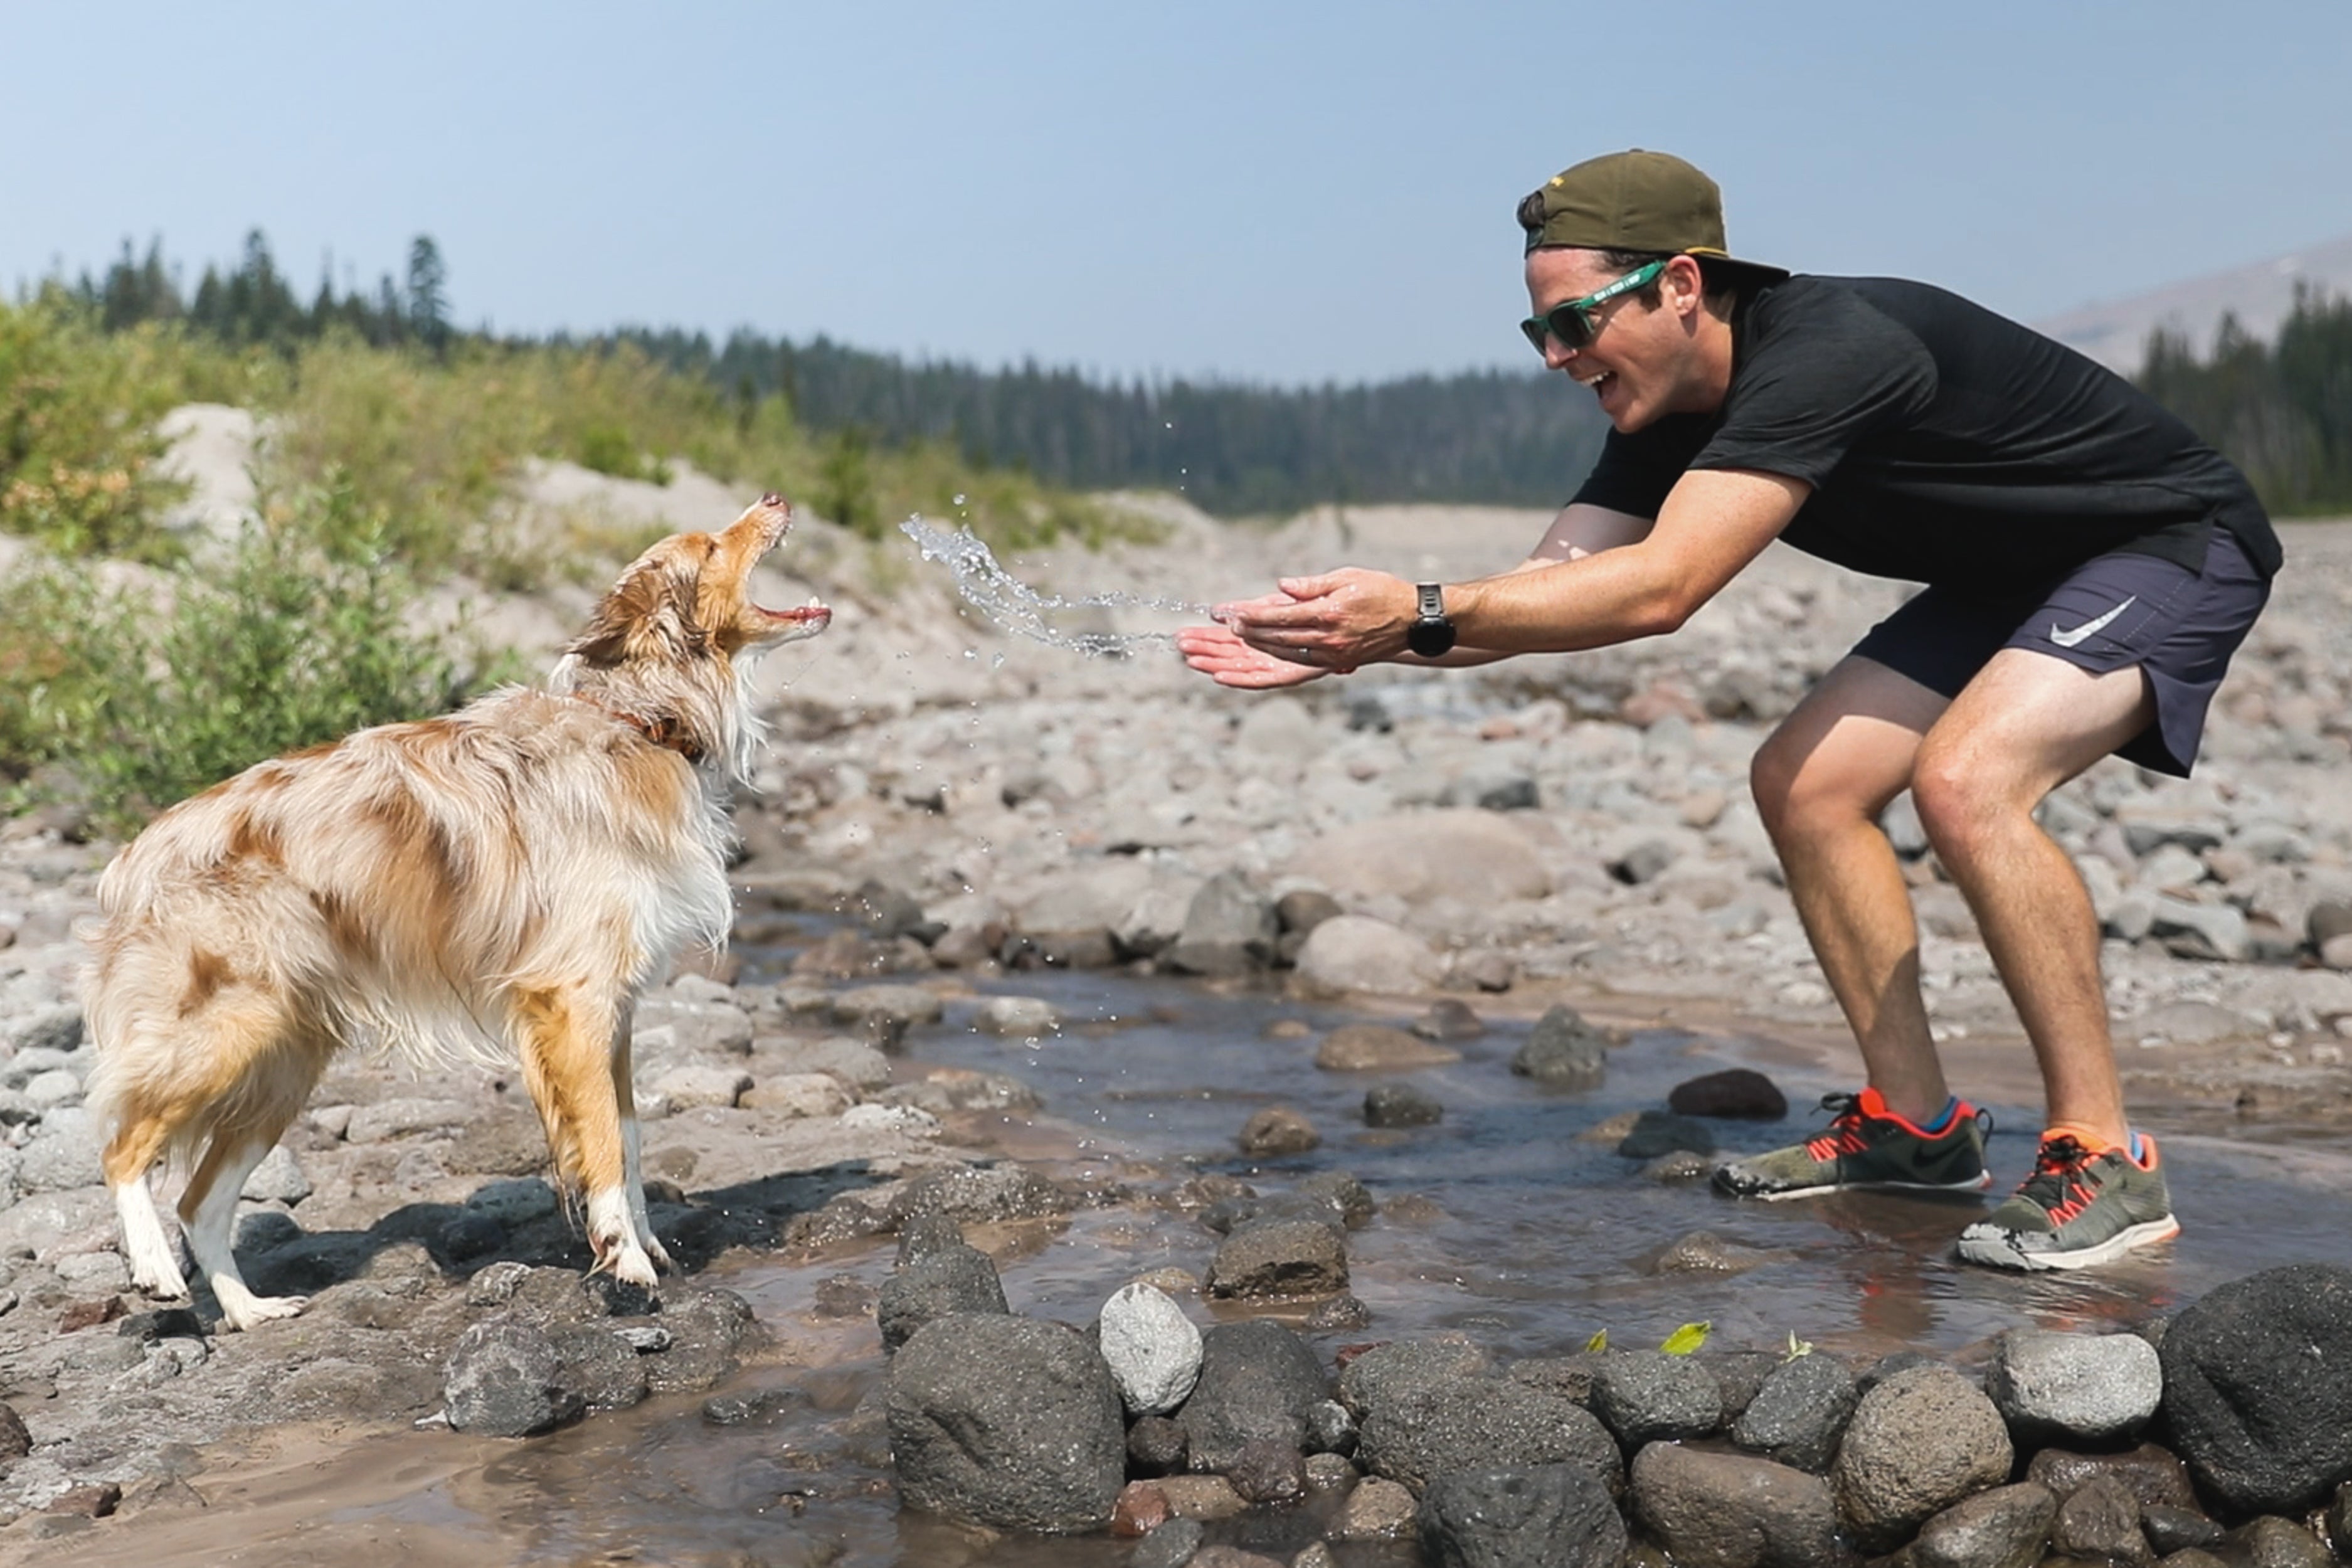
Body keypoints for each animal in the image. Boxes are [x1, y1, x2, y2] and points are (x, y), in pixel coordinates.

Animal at [83, 495, 832, 1335]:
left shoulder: (616, 1011)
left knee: (200, 1201)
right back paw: (154, 1269)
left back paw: (249, 1311)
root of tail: (132, 856)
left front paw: (646, 1245)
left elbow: (631, 1135)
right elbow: (605, 1143)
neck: (638, 722)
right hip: (220, 1034)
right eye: (708, 546)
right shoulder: (573, 999)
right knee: (121, 1147)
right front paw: (627, 1265)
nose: (775, 500)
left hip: (282, 1060)